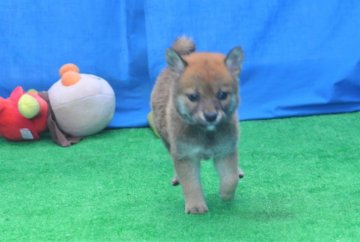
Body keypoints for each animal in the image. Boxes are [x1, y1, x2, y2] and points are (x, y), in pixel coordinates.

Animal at [149, 36, 245, 214]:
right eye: (193, 97)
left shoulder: (225, 151)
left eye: (222, 95)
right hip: (167, 140)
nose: (211, 116)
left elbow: (230, 178)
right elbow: (191, 184)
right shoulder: (186, 156)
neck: (206, 132)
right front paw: (195, 206)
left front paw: (226, 195)